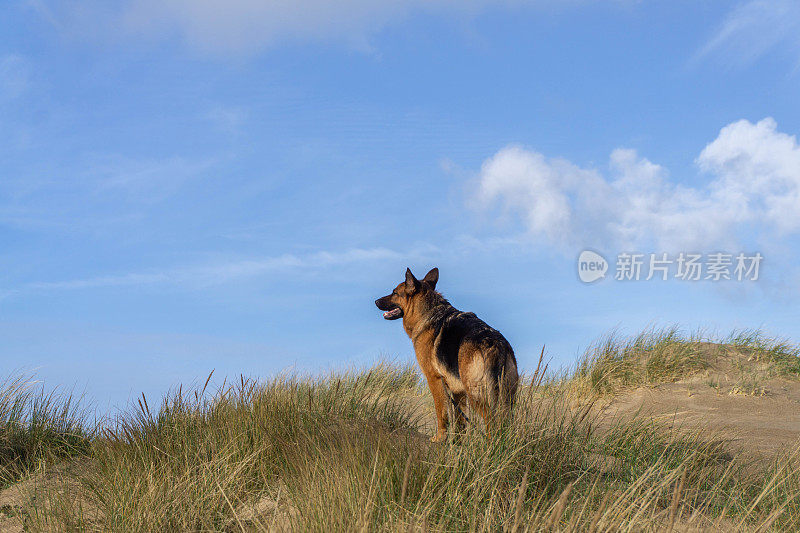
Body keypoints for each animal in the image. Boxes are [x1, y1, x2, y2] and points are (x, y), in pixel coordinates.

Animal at [376, 266, 520, 440]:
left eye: (394, 292)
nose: (375, 301)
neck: (428, 312)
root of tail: (496, 344)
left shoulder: (434, 380)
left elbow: (441, 413)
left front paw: (440, 438)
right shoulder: (458, 391)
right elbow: (459, 423)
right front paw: (456, 442)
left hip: (478, 395)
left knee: (491, 422)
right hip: (506, 399)